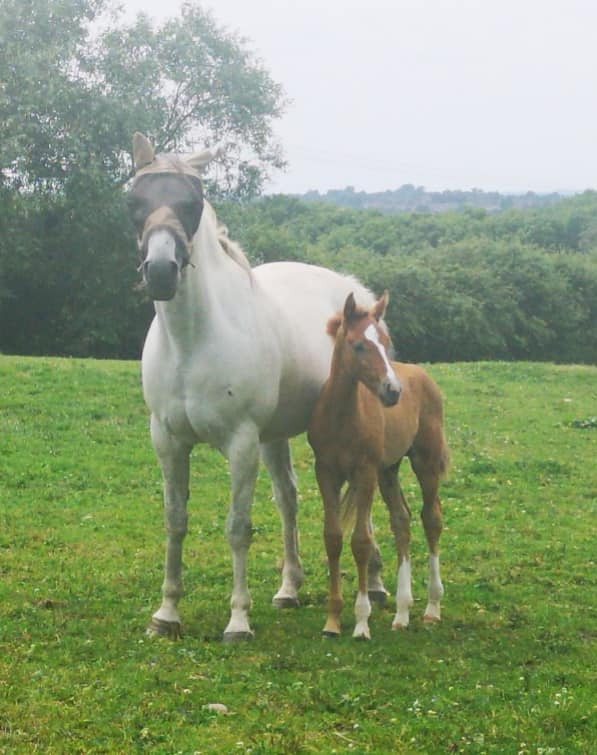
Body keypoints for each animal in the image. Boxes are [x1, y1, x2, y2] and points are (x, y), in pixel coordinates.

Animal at [128, 134, 384, 636]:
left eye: (192, 202)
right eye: (134, 201)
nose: (162, 271)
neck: (193, 340)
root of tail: (356, 292)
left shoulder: (241, 442)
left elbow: (237, 527)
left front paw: (238, 620)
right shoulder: (167, 440)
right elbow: (175, 520)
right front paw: (166, 613)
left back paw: (379, 584)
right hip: (275, 437)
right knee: (288, 499)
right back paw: (289, 588)